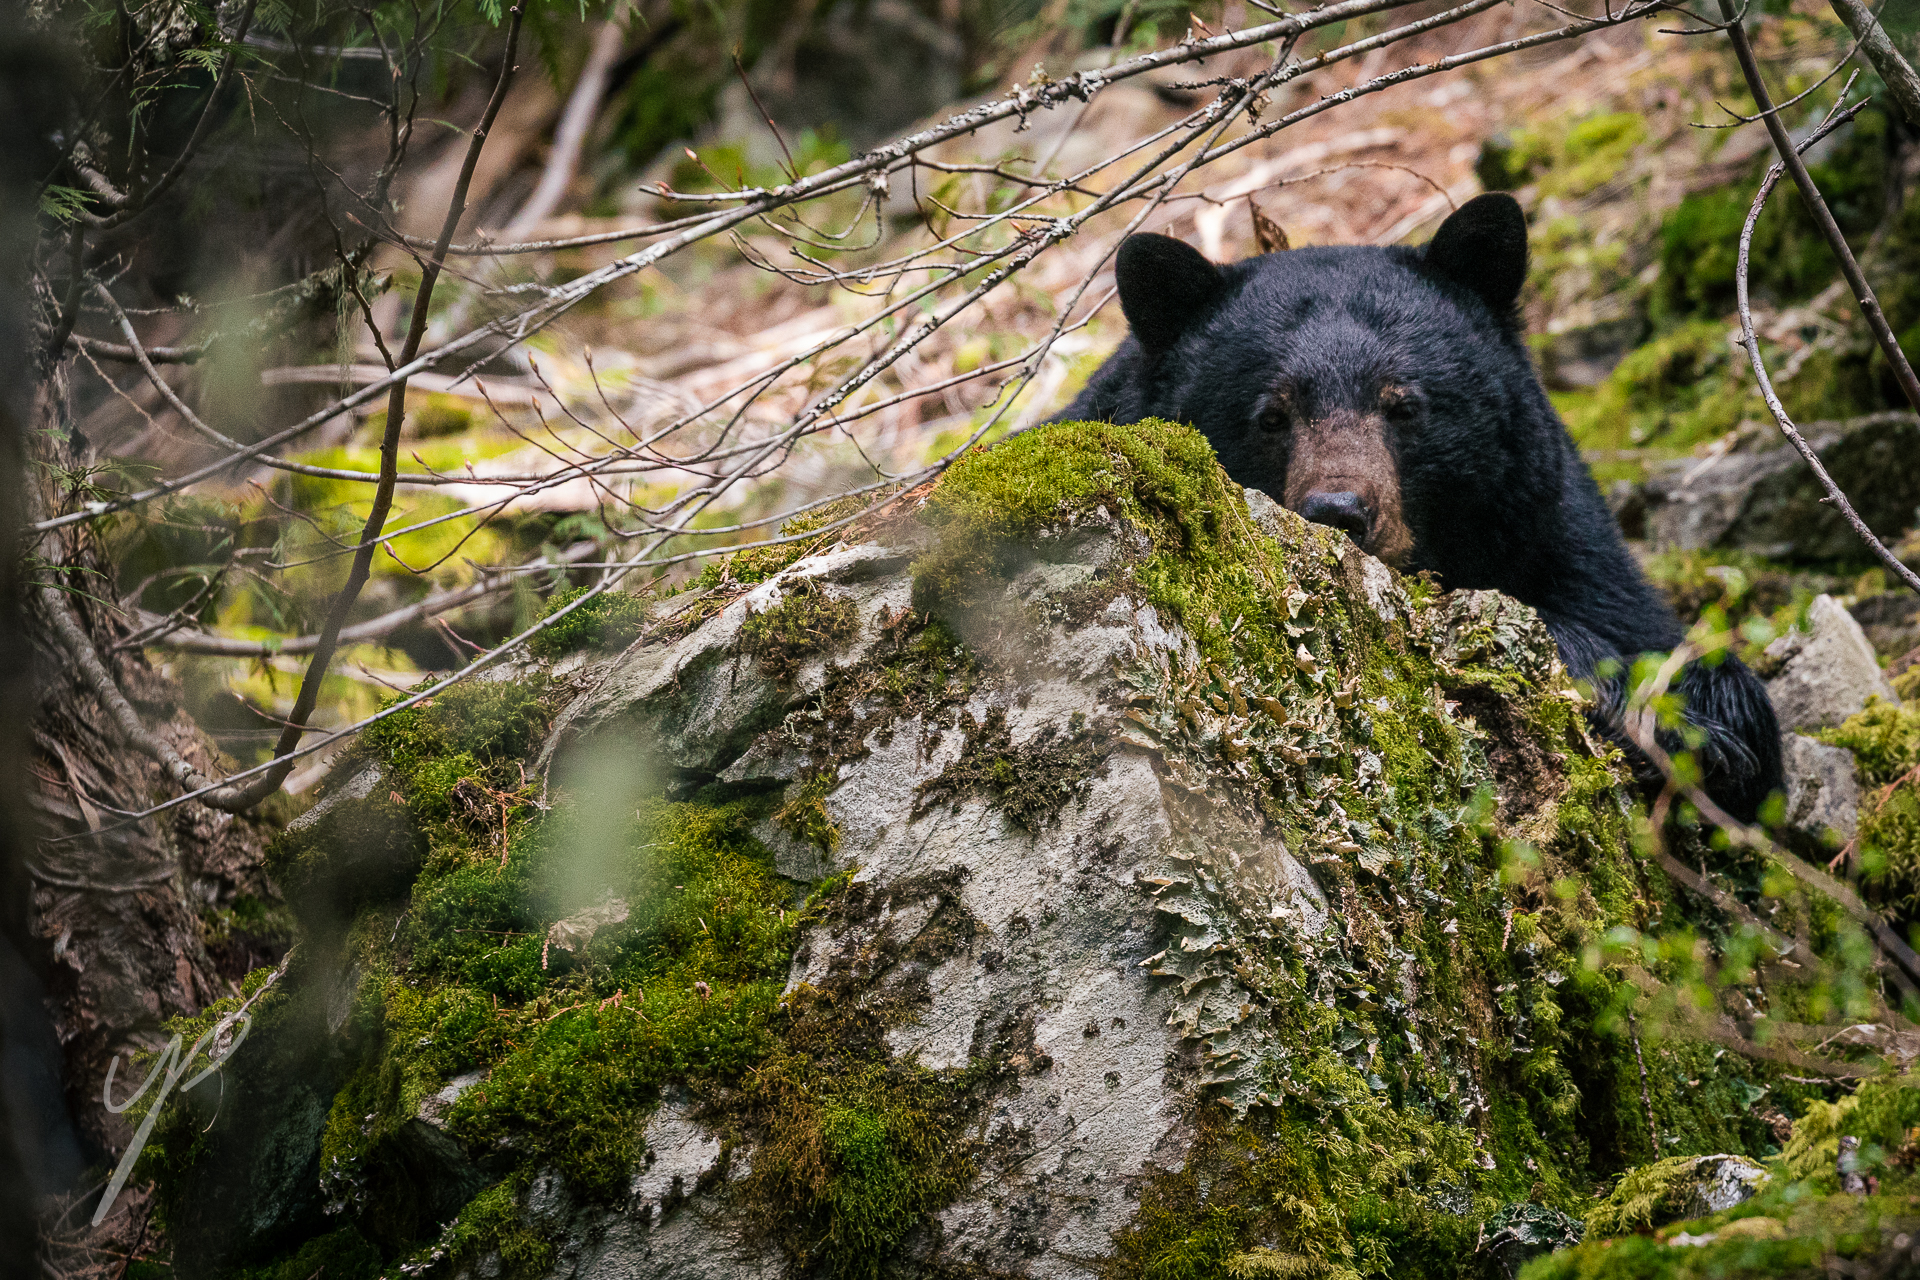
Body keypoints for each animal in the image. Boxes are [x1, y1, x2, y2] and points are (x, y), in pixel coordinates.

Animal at [1059, 195, 1774, 825]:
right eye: (1271, 416)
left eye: (1403, 405)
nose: (1339, 511)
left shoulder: (1552, 528)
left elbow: (1647, 631)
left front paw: (1713, 726)